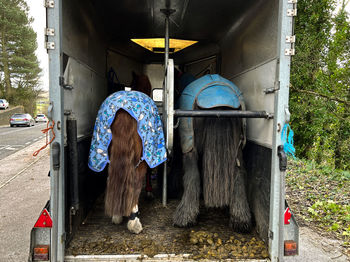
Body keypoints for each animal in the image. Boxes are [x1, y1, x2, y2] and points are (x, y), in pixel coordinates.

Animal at [88, 71, 166, 233]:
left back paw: (117, 214)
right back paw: (134, 219)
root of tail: (123, 109)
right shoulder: (148, 156)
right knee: (136, 181)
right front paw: (149, 192)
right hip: (140, 159)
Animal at [172, 74, 252, 233]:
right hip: (238, 148)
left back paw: (185, 216)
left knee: (192, 173)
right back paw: (241, 219)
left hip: (189, 144)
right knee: (239, 174)